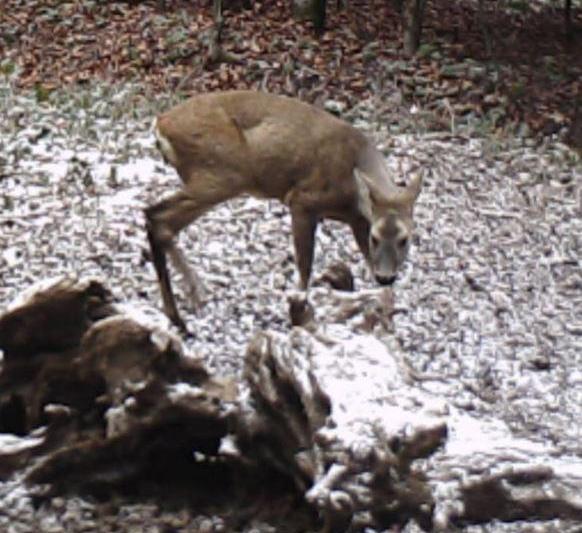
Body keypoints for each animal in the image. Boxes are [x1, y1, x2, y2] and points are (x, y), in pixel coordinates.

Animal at [144, 91, 422, 328]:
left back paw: (178, 315)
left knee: (156, 216)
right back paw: (194, 294)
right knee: (157, 216)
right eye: (376, 237)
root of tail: (161, 124)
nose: (386, 277)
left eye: (405, 239)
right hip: (221, 173)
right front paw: (302, 312)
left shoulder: (357, 220)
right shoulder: (302, 200)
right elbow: (305, 266)